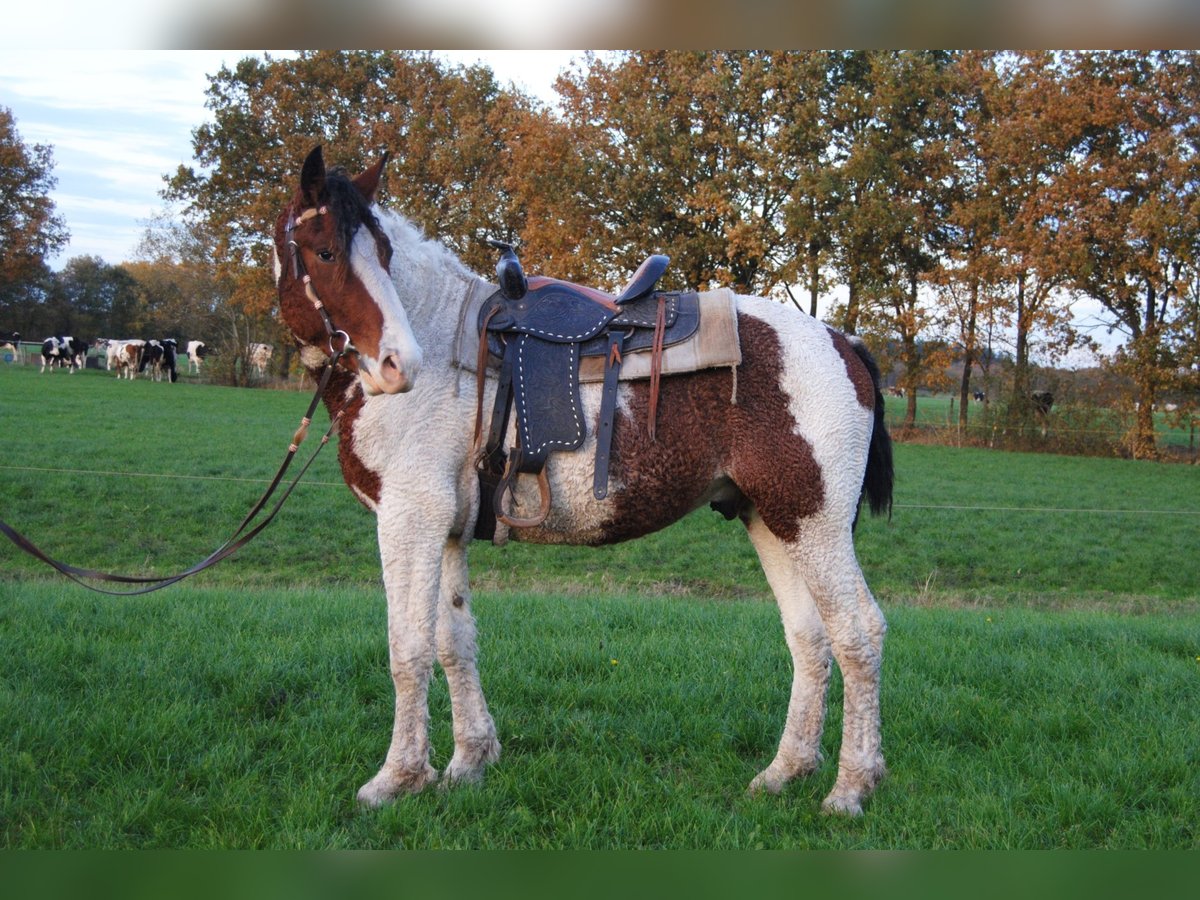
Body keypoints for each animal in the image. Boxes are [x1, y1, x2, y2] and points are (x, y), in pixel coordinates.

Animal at [272, 146, 894, 816]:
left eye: (382, 254)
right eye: (326, 252)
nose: (396, 364)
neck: (443, 342)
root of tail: (844, 342)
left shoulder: (409, 518)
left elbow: (406, 649)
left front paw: (397, 777)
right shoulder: (445, 531)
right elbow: (452, 641)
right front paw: (468, 762)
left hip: (815, 523)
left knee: (858, 633)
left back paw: (852, 786)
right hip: (772, 521)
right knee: (809, 638)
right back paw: (785, 771)